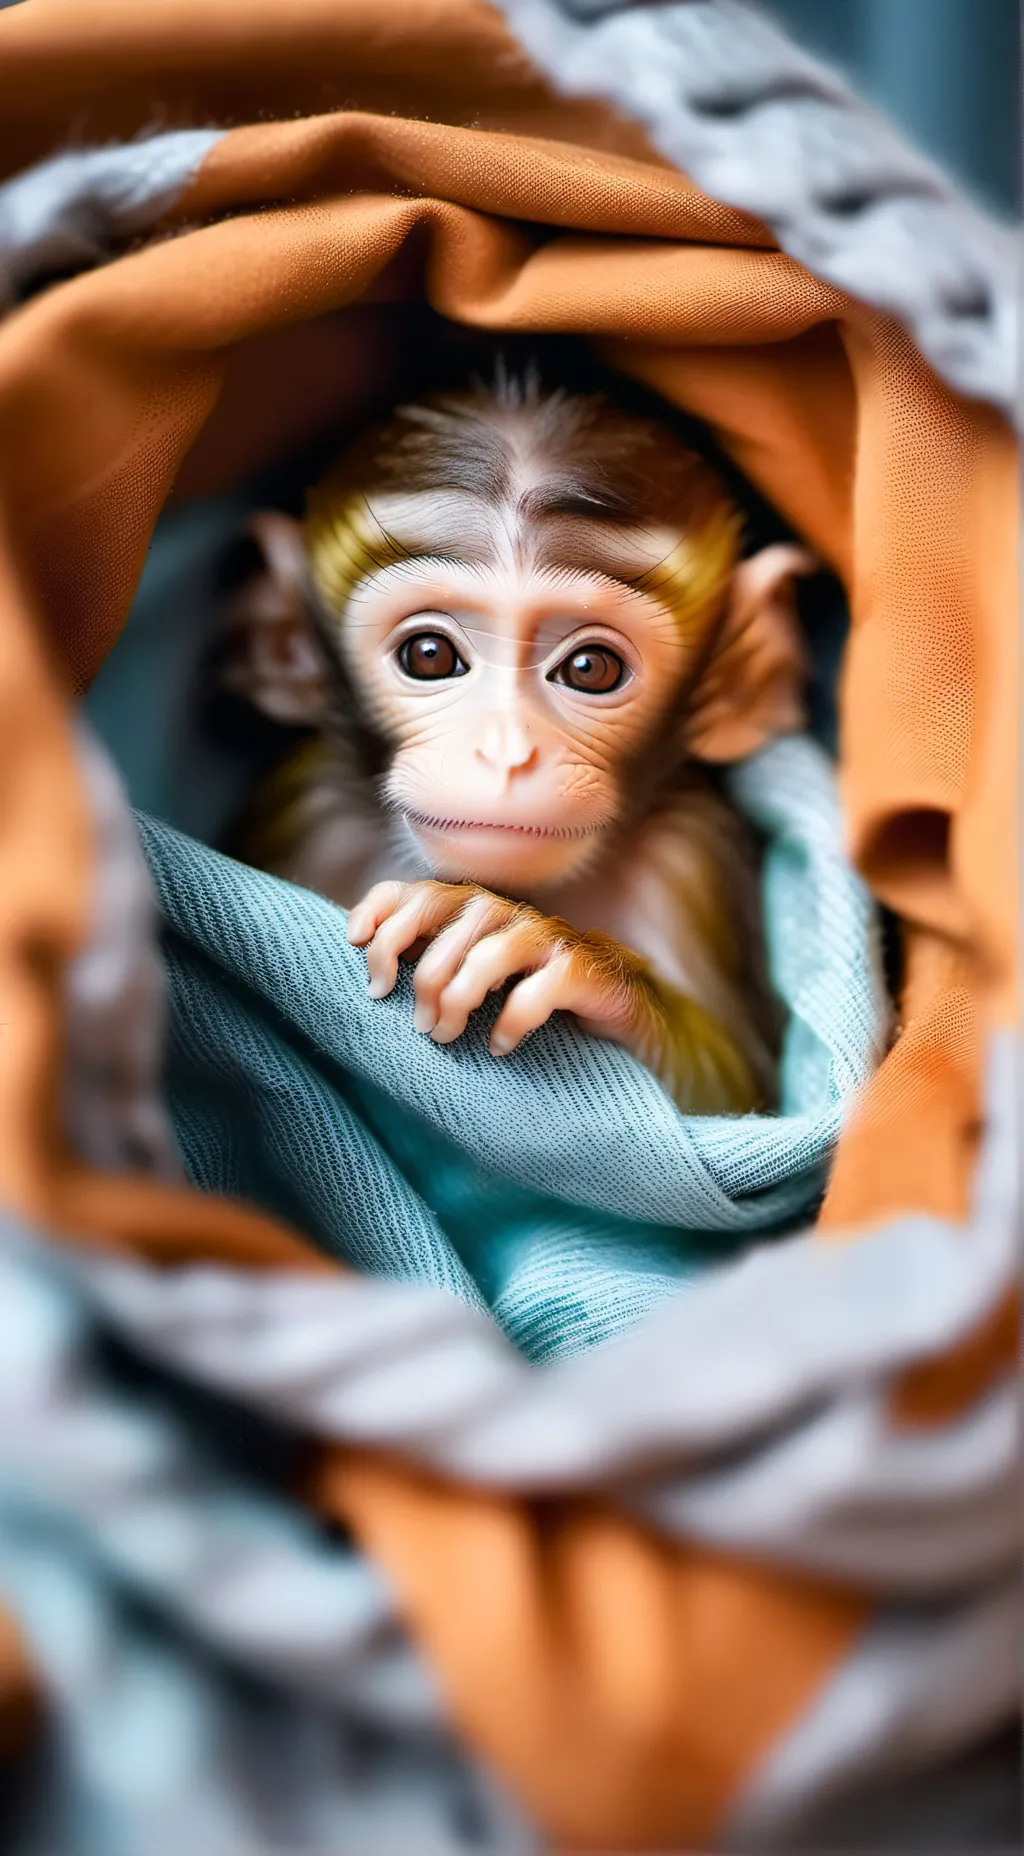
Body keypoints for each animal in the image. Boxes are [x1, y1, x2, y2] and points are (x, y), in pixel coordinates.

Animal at [215, 369, 813, 1114]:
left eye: (590, 668)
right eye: (430, 655)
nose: (505, 752)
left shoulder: (689, 859)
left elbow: (745, 1104)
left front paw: (551, 951)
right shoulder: (309, 813)